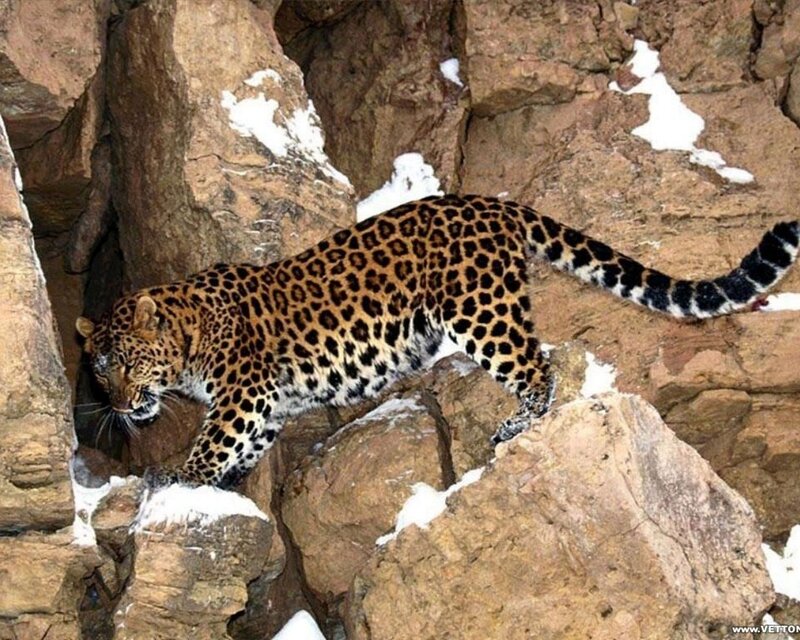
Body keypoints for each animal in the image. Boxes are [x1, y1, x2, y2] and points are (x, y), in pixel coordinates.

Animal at [75, 195, 800, 488]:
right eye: (100, 372)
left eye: (128, 362)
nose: (119, 405)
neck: (189, 332)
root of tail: (493, 203)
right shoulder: (269, 405)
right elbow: (241, 448)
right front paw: (220, 484)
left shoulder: (245, 392)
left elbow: (211, 443)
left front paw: (177, 479)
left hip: (478, 309)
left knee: (537, 365)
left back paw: (516, 426)